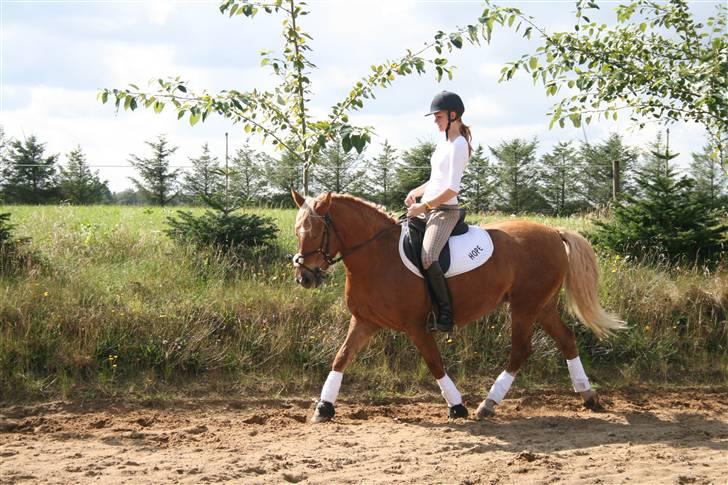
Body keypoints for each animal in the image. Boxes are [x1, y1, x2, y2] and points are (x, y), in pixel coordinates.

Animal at [292, 190, 624, 424]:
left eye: (315, 232)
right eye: (297, 231)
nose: (304, 277)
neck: (377, 255)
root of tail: (554, 232)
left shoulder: (416, 326)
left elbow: (434, 362)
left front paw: (457, 406)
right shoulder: (364, 321)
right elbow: (341, 357)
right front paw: (323, 408)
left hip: (525, 306)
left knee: (520, 350)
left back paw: (487, 405)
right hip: (541, 306)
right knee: (566, 339)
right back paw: (588, 396)